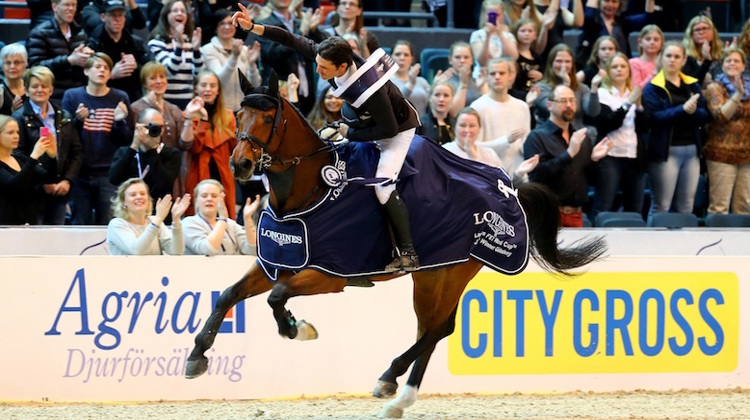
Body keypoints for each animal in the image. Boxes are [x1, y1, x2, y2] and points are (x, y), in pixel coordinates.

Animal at [187, 80, 612, 418]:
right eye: (238, 115)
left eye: (267, 118)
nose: (240, 166)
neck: (310, 189)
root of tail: (508, 187)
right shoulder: (277, 261)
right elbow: (228, 295)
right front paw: (197, 357)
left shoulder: (328, 274)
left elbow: (276, 297)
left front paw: (297, 328)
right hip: (433, 274)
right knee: (434, 328)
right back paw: (397, 398)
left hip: (450, 270)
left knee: (438, 327)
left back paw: (388, 378)